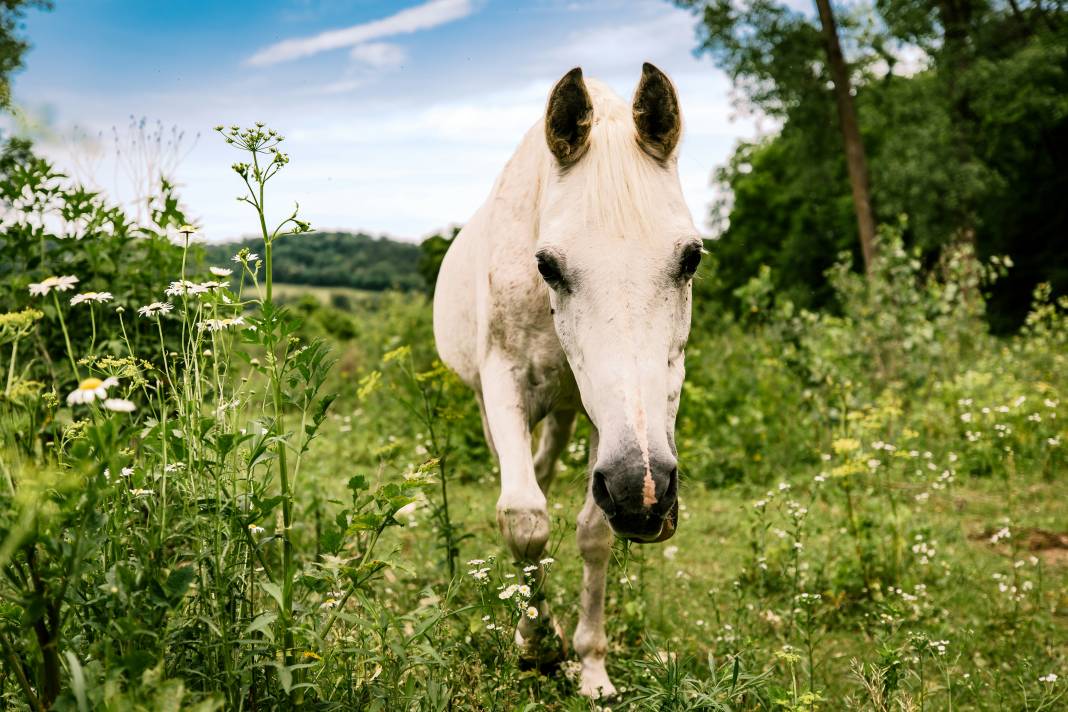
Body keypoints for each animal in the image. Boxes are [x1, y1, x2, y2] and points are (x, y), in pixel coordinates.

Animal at [433, 64, 700, 700]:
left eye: (692, 258)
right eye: (547, 266)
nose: (642, 492)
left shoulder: (612, 422)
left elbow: (593, 532)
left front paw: (592, 667)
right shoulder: (503, 384)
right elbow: (524, 517)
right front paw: (536, 643)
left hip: (567, 414)